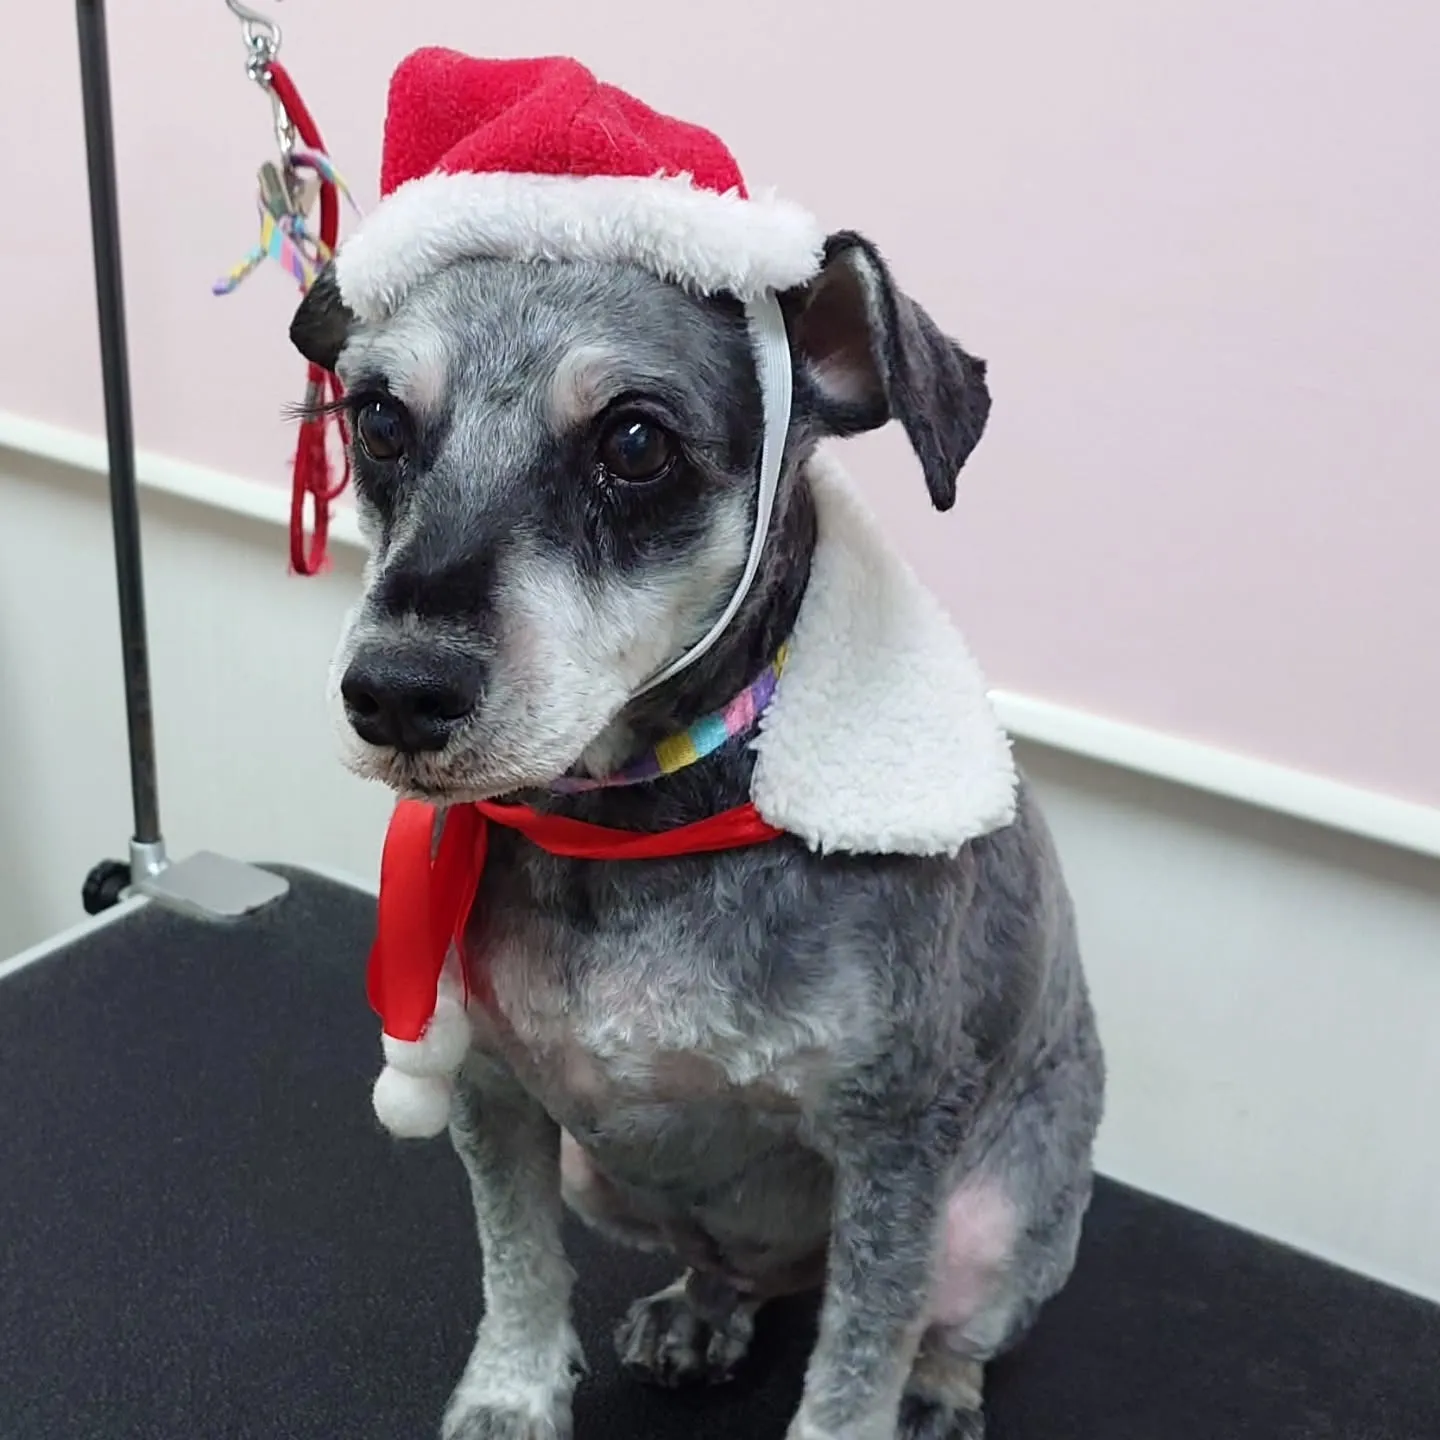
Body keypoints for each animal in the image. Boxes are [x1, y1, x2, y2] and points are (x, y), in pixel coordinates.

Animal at [290, 227, 1105, 1440]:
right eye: (378, 420)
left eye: (636, 441)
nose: (395, 692)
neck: (629, 832)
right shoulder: (492, 1085)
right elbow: (517, 1260)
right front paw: (512, 1394)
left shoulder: (897, 1145)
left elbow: (858, 1362)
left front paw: (876, 1397)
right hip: (610, 1180)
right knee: (732, 1268)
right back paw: (701, 1309)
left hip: (997, 1222)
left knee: (953, 1324)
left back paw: (937, 1389)